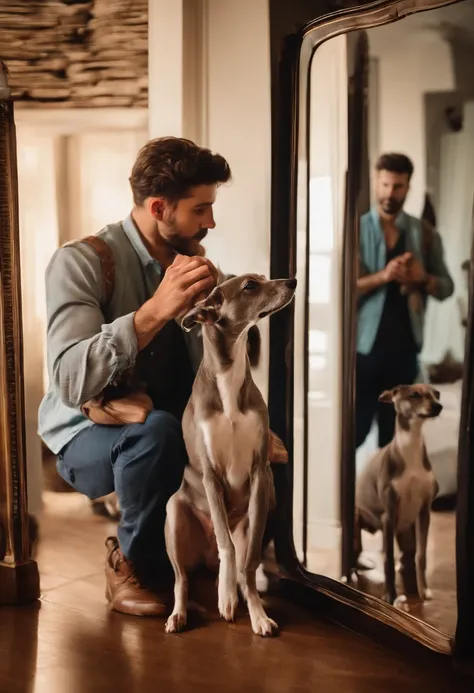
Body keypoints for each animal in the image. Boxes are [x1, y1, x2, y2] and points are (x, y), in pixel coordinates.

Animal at [164, 274, 296, 636]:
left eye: (263, 278)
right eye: (250, 285)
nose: (293, 281)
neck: (229, 381)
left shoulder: (261, 473)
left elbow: (246, 561)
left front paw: (257, 613)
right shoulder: (211, 476)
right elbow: (226, 544)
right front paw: (225, 596)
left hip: (253, 519)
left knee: (239, 563)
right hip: (174, 516)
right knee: (182, 580)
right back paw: (179, 614)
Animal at [356, 384, 440, 604]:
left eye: (436, 394)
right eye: (414, 394)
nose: (438, 406)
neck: (410, 449)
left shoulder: (424, 511)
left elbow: (422, 555)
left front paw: (423, 590)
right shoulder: (389, 514)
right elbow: (387, 560)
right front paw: (390, 596)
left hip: (405, 529)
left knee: (407, 554)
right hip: (359, 518)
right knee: (356, 547)